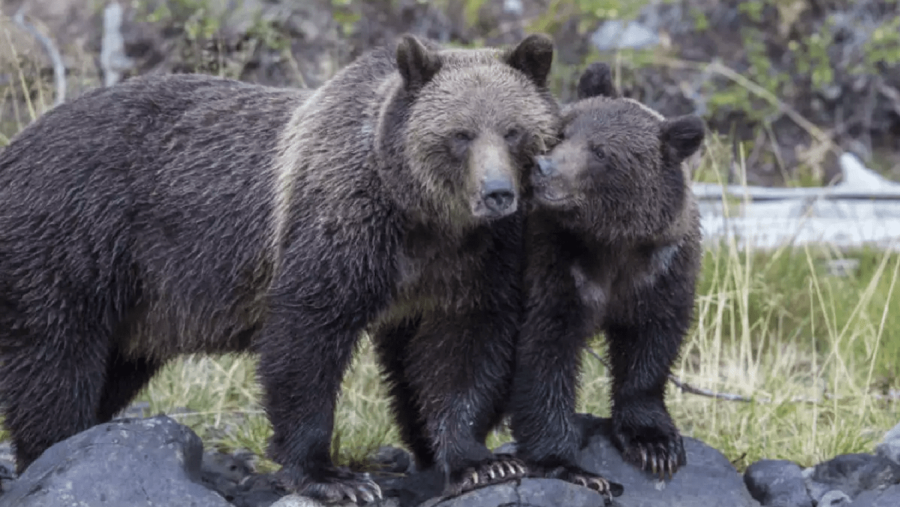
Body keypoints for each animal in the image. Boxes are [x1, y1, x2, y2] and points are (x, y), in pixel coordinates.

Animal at [0, 33, 560, 503]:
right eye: (460, 134)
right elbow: (306, 336)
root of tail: (18, 144)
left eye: (513, 131)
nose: (497, 193)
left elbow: (463, 348)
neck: (425, 221)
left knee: (111, 367)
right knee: (55, 355)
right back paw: (55, 447)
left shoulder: (471, 264)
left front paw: (481, 462)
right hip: (74, 237)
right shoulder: (342, 227)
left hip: (137, 303)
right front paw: (333, 477)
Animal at [505, 61, 706, 499]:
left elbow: (650, 345)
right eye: (563, 132)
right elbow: (544, 353)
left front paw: (654, 445)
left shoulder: (660, 270)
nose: (544, 168)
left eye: (601, 152)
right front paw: (569, 465)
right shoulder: (555, 266)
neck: (611, 242)